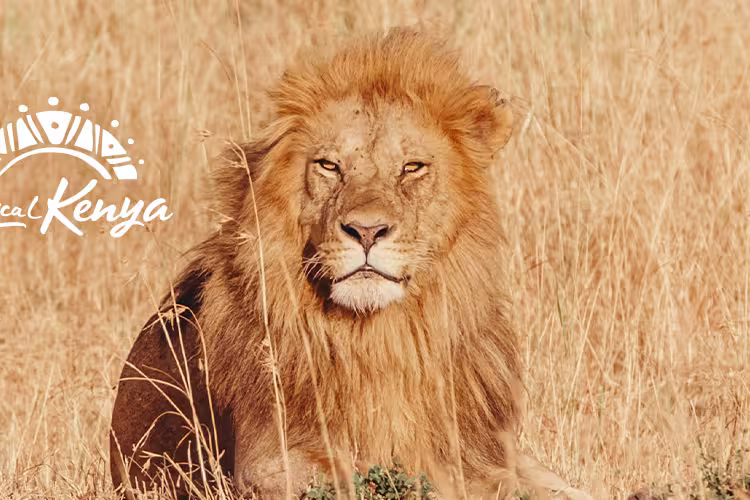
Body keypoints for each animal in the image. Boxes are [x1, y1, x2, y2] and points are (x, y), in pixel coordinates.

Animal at [110, 28, 591, 500]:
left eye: (412, 167)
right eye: (329, 165)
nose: (366, 230)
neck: (382, 339)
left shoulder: (484, 454)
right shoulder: (267, 463)